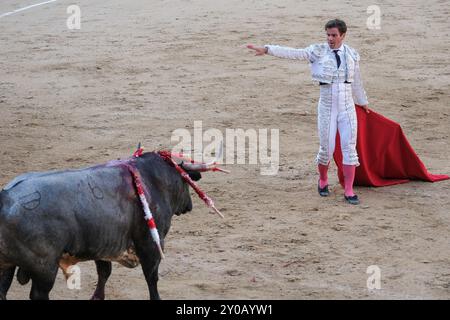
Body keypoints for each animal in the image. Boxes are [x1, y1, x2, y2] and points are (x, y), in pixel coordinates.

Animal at [0, 151, 200, 298]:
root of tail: (6, 197)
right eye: (186, 182)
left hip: (6, 265)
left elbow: (104, 272)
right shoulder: (150, 244)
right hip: (45, 269)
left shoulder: (103, 244)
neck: (152, 179)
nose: (189, 206)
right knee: (38, 294)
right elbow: (151, 277)